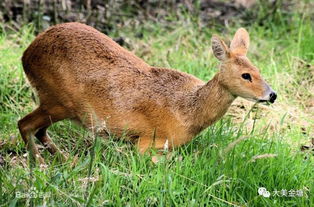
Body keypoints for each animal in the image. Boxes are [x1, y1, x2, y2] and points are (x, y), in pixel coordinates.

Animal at [18, 23, 276, 165]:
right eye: (246, 75)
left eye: (258, 70)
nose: (272, 94)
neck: (188, 111)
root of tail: (26, 54)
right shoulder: (147, 141)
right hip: (58, 99)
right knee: (25, 124)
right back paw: (39, 165)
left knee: (38, 130)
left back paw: (65, 161)